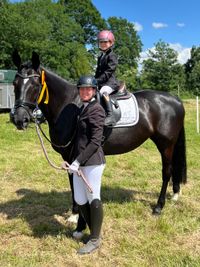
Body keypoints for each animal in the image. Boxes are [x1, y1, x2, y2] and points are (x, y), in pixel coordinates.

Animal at [11, 51, 186, 219]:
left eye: (35, 85)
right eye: (15, 84)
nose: (19, 119)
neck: (68, 105)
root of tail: (175, 99)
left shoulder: (73, 154)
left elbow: (74, 180)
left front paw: (75, 214)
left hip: (166, 144)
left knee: (166, 172)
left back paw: (158, 207)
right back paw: (175, 194)